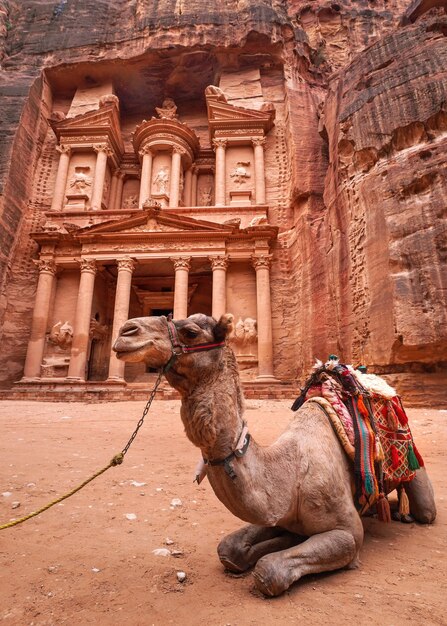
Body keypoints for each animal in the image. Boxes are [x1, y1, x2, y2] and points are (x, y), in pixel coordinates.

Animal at [114, 312, 440, 596]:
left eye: (191, 332)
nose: (126, 330)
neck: (289, 472)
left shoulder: (347, 533)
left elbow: (268, 570)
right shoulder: (276, 512)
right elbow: (230, 549)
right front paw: (266, 545)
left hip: (415, 468)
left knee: (425, 510)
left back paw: (399, 511)